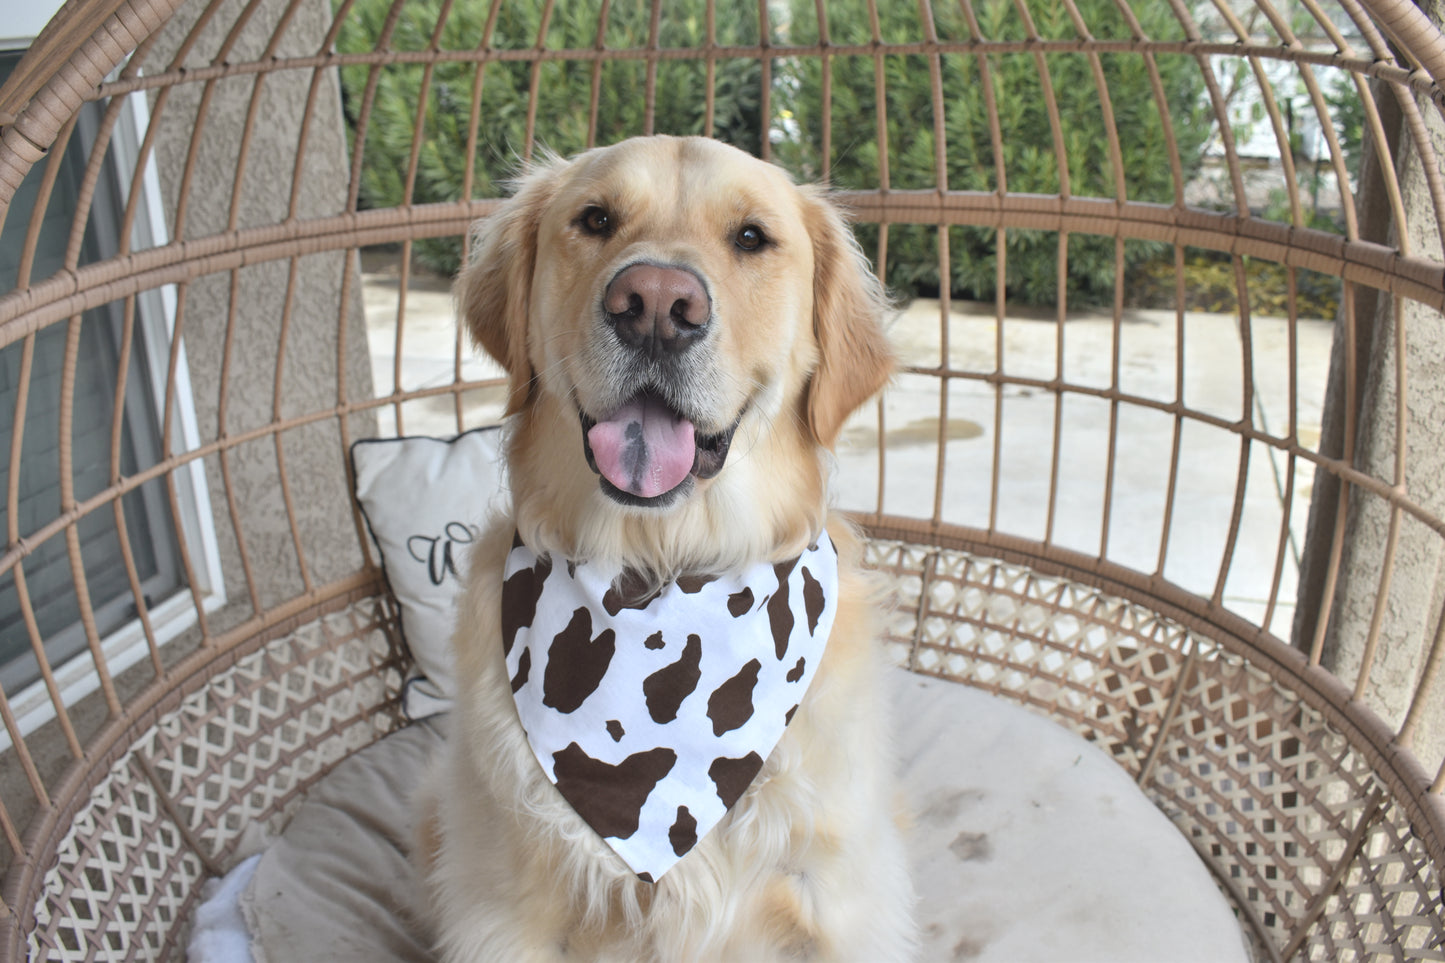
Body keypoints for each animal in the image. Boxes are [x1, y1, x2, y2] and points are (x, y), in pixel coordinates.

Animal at [419, 135, 913, 960]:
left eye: (750, 237)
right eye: (595, 218)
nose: (653, 304)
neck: (663, 571)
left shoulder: (838, 907)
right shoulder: (504, 914)